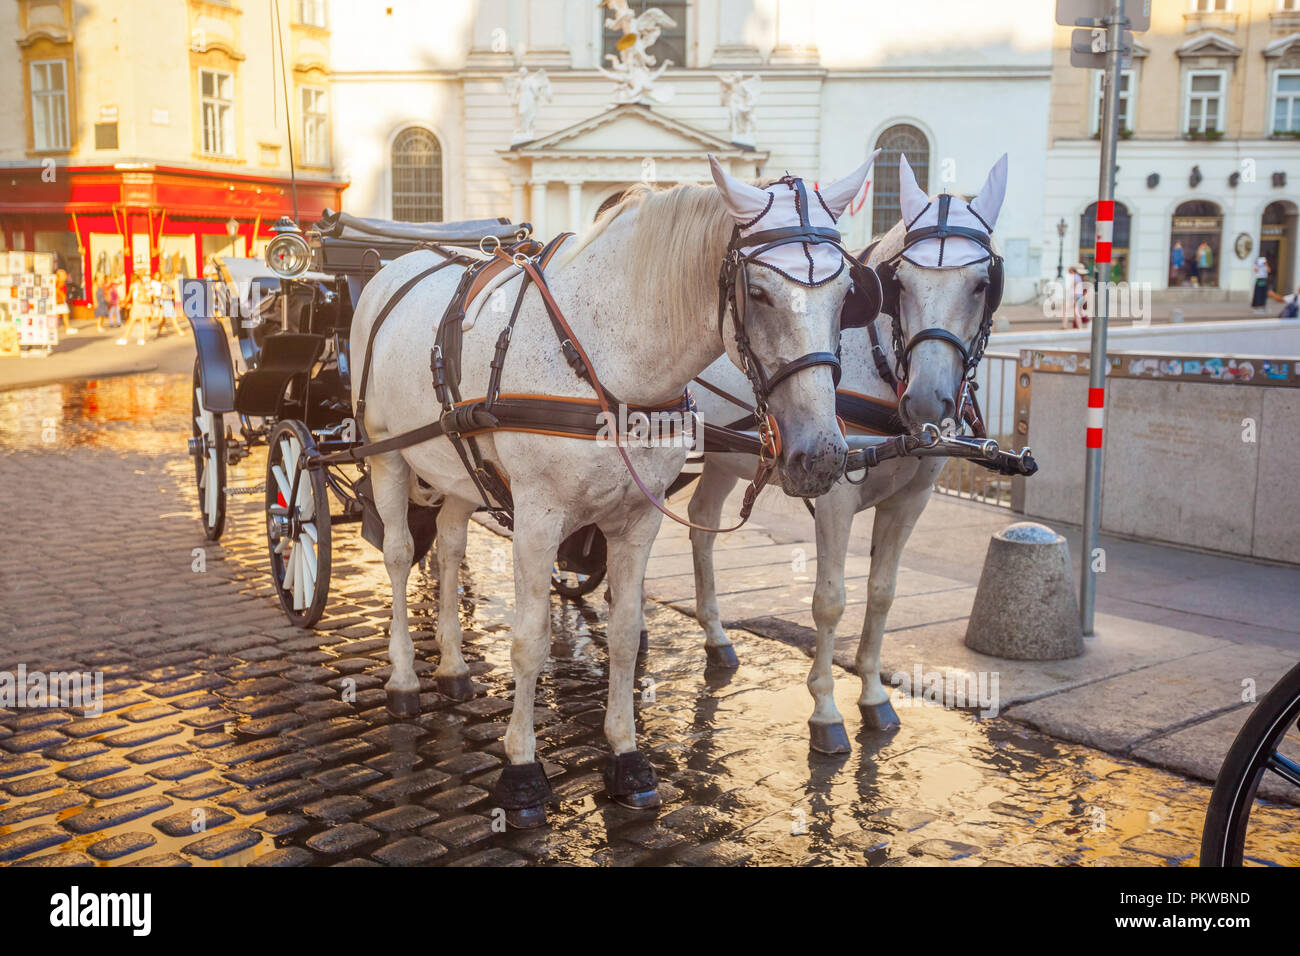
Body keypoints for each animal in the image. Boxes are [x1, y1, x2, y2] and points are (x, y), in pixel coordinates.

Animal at [350, 153, 878, 825]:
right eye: (757, 293)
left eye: (846, 297)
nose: (823, 454)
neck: (607, 359)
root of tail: (398, 263)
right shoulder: (539, 518)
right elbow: (530, 639)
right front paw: (522, 769)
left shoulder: (636, 520)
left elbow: (626, 635)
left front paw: (627, 758)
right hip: (386, 453)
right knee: (397, 555)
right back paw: (404, 680)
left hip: (455, 468)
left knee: (447, 546)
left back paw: (452, 666)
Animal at [680, 153, 1009, 754]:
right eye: (899, 283)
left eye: (982, 286)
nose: (926, 399)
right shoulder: (834, 495)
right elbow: (830, 600)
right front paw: (826, 712)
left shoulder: (912, 500)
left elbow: (881, 594)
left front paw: (874, 697)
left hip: (723, 458)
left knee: (701, 522)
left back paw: (715, 636)